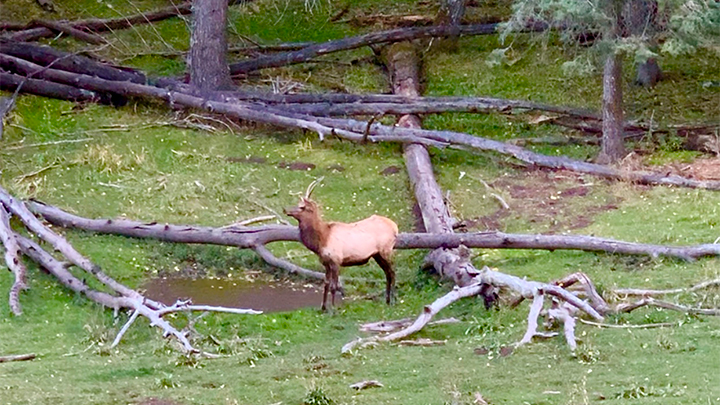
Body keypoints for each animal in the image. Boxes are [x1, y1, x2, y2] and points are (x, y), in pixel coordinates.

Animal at [286, 178, 400, 310]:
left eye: (302, 207)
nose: (286, 210)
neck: (321, 240)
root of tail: (395, 227)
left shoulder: (336, 260)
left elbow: (333, 286)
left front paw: (333, 308)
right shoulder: (326, 262)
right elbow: (326, 284)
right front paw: (323, 308)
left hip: (386, 250)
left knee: (393, 272)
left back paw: (394, 300)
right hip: (377, 255)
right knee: (387, 273)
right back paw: (387, 300)